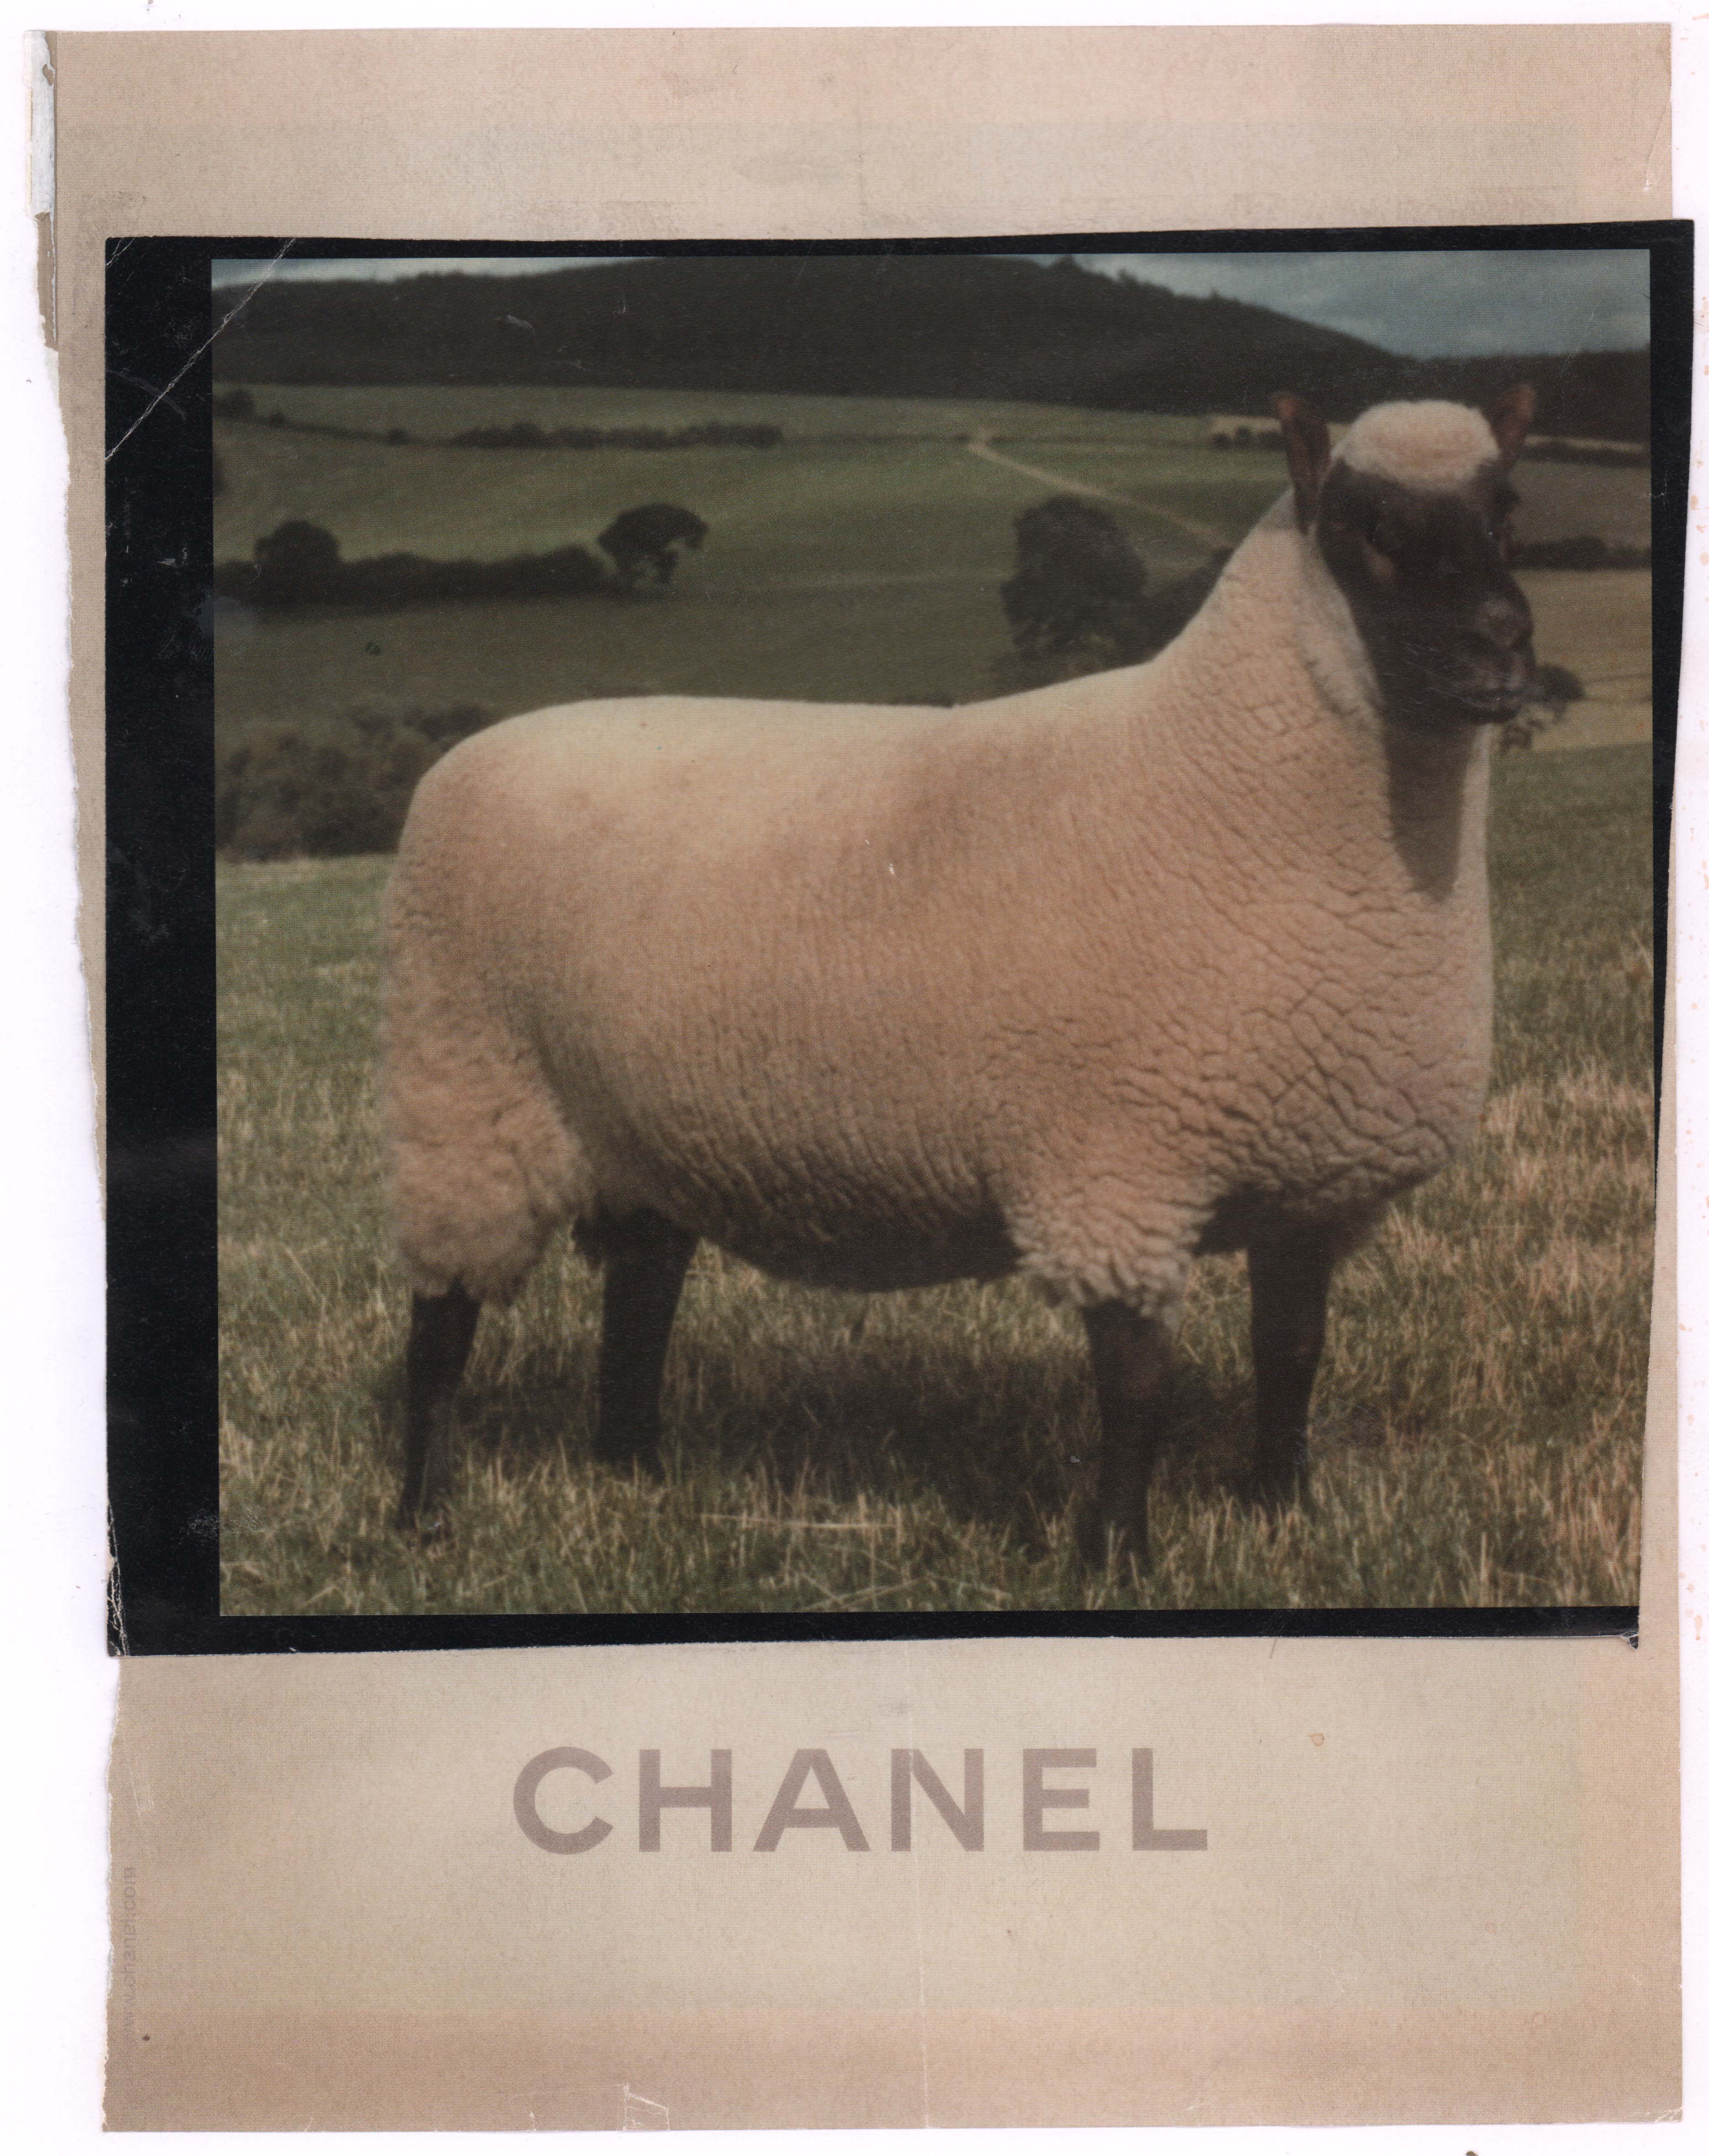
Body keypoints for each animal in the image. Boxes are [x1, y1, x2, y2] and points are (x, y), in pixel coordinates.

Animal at [382, 386, 1538, 1568]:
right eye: (1364, 526)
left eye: (1506, 509)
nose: (1504, 644)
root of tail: (466, 757)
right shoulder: (1120, 1171)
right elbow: (1135, 1387)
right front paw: (1117, 1557)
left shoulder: (1313, 1179)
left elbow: (1293, 1353)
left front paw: (1279, 1511)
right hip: (467, 1086)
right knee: (442, 1316)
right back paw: (424, 1511)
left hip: (639, 1120)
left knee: (643, 1284)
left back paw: (632, 1469)